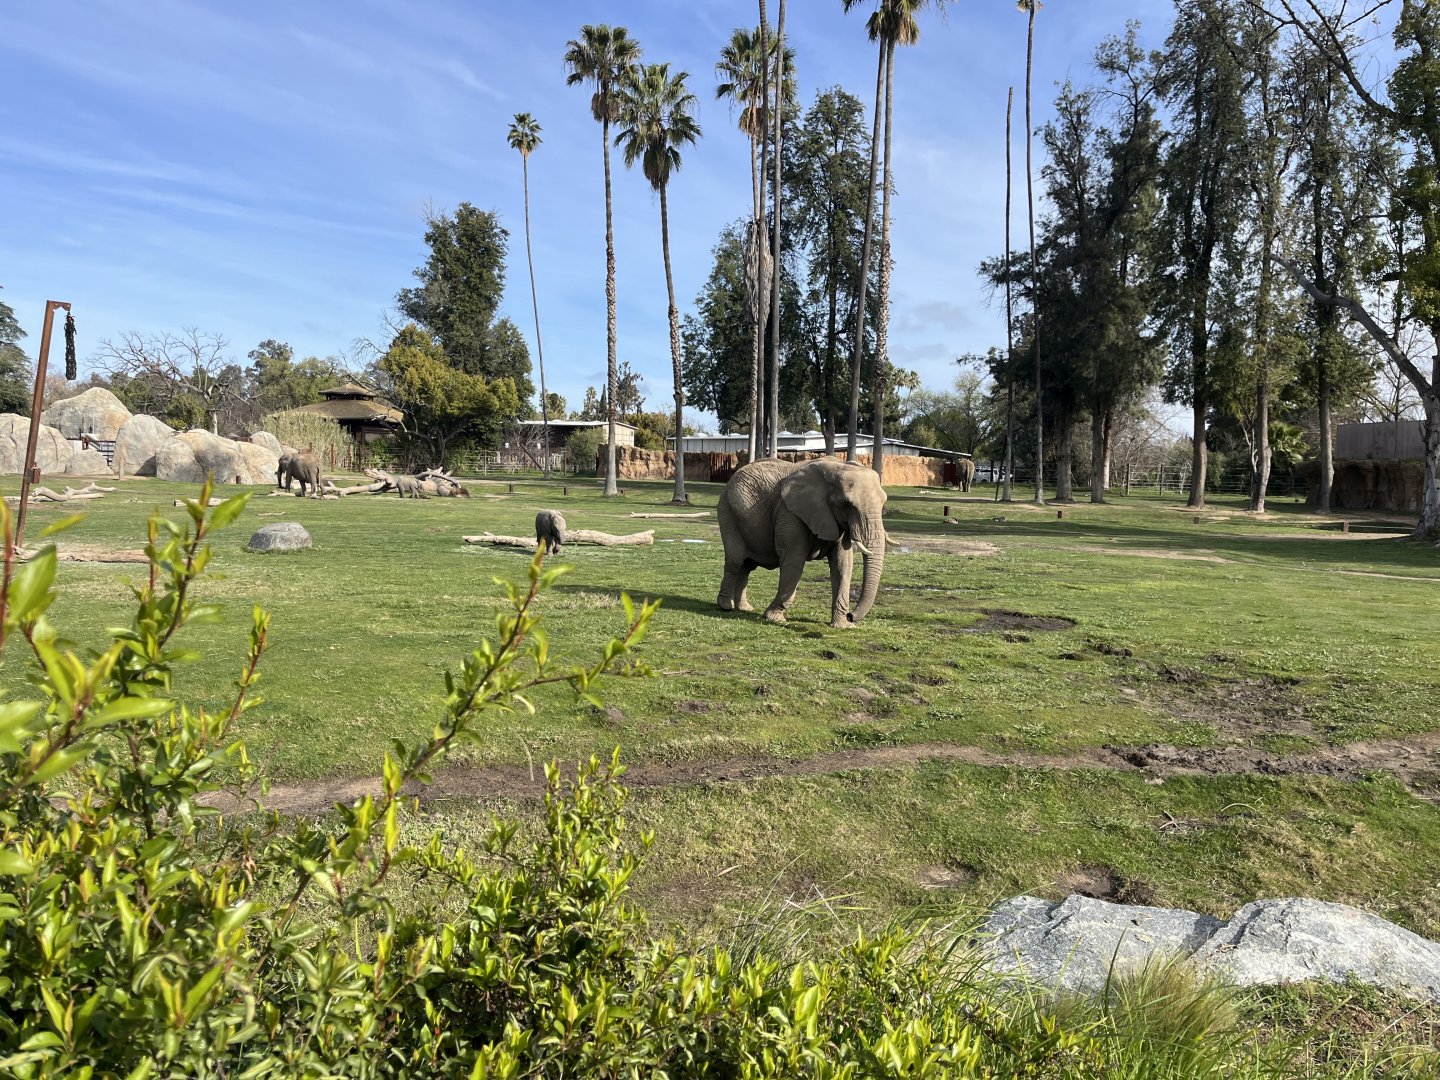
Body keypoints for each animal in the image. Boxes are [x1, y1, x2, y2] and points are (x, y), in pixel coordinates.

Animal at [717, 457, 887, 628]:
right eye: (846, 504)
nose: (851, 615)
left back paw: (744, 608)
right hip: (727, 512)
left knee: (747, 566)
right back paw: (726, 606)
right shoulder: (790, 513)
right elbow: (794, 560)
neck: (837, 467)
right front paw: (774, 618)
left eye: (883, 502)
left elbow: (843, 563)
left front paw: (843, 626)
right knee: (736, 561)